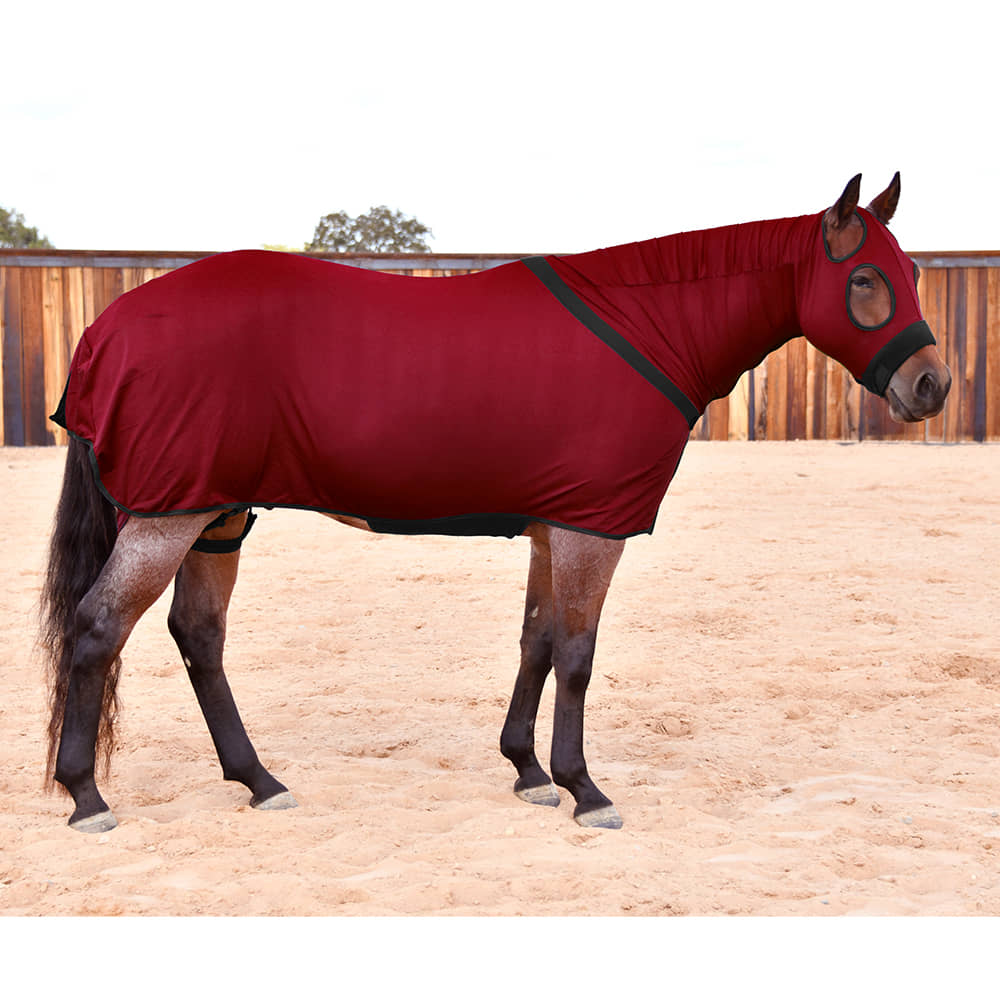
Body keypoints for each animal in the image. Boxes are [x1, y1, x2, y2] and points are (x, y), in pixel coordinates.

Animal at [41, 174, 951, 833]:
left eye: (910, 273)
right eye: (864, 278)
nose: (932, 386)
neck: (648, 323)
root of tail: (108, 328)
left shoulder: (554, 526)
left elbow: (537, 643)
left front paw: (529, 771)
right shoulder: (591, 530)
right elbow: (577, 655)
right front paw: (586, 789)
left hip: (218, 517)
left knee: (199, 636)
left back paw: (259, 780)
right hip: (171, 516)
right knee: (99, 628)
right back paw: (86, 796)